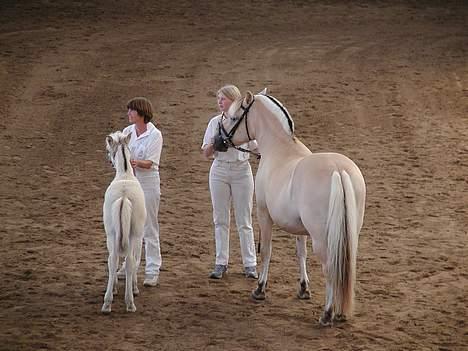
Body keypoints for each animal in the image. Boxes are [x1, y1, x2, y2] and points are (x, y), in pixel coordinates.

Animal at [221, 91, 368, 328]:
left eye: (234, 117)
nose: (219, 140)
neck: (280, 150)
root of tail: (339, 170)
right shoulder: (300, 229)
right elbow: (301, 254)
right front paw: (303, 289)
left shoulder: (264, 214)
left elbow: (266, 251)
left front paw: (260, 289)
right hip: (350, 233)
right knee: (345, 266)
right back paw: (340, 313)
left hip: (322, 238)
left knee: (330, 269)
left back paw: (327, 314)